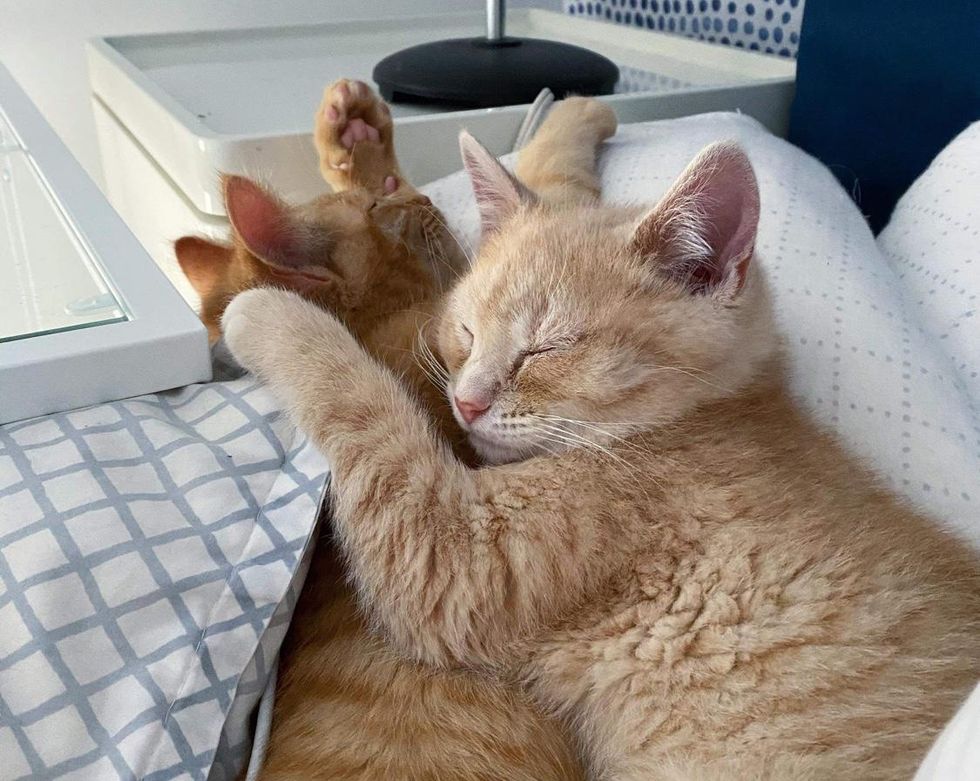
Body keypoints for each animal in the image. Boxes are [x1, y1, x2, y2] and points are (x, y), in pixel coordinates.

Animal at [177, 80, 604, 780]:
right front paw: (576, 115)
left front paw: (354, 135)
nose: (418, 194)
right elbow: (552, 190)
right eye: (377, 207)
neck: (382, 325)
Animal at [220, 106, 980, 776]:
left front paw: (265, 313)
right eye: (465, 330)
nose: (466, 402)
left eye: (544, 348)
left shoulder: (462, 555)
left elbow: (362, 403)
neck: (702, 418)